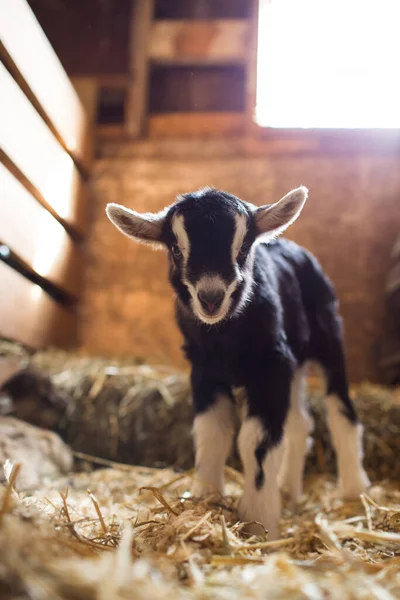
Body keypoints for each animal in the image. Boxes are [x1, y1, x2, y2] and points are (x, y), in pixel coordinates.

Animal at [105, 188, 368, 540]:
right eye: (176, 249)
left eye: (243, 247)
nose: (210, 298)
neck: (225, 336)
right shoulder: (205, 371)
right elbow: (212, 432)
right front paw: (205, 501)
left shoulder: (270, 366)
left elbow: (256, 440)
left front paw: (258, 520)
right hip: (294, 362)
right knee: (300, 421)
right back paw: (288, 489)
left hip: (328, 337)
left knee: (341, 411)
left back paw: (354, 490)